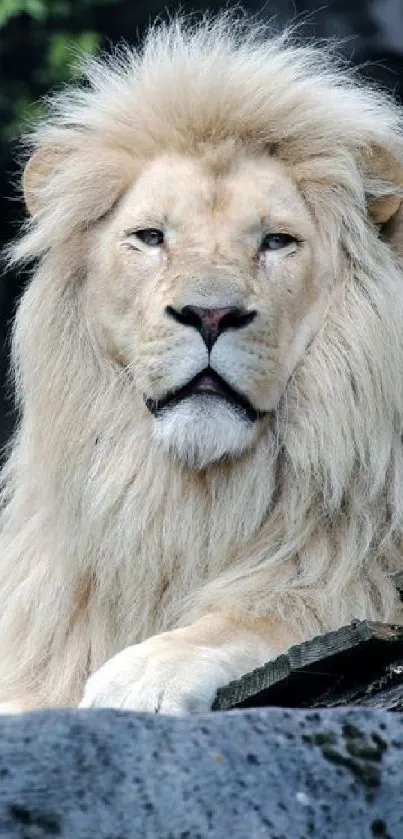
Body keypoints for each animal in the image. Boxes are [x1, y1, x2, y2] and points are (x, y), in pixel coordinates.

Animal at [0, 18, 403, 716]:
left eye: (276, 242)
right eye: (151, 237)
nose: (210, 315)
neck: (192, 499)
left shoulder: (355, 573)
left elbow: (266, 612)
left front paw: (140, 676)